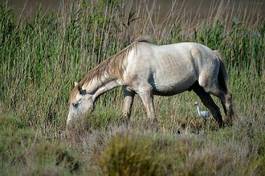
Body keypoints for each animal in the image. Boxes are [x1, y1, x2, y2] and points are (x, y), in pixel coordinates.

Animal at [66, 41, 233, 129]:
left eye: (75, 104)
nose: (69, 126)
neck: (128, 63)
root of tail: (213, 53)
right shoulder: (129, 91)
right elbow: (125, 115)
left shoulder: (145, 91)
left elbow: (152, 118)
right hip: (199, 89)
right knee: (214, 108)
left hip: (208, 86)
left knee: (227, 97)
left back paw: (230, 123)